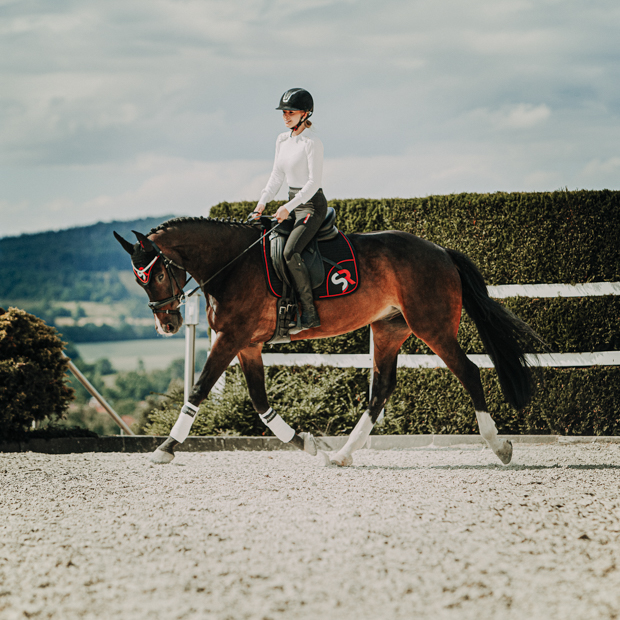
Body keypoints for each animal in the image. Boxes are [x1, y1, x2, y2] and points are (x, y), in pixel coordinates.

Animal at [114, 216, 540, 468]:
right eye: (138, 280)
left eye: (157, 275)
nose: (167, 325)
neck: (232, 263)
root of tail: (440, 251)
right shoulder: (247, 344)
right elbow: (260, 403)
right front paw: (306, 442)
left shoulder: (230, 338)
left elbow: (199, 390)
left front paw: (165, 448)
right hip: (389, 329)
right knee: (380, 389)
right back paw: (341, 455)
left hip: (431, 326)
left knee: (468, 372)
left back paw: (499, 447)